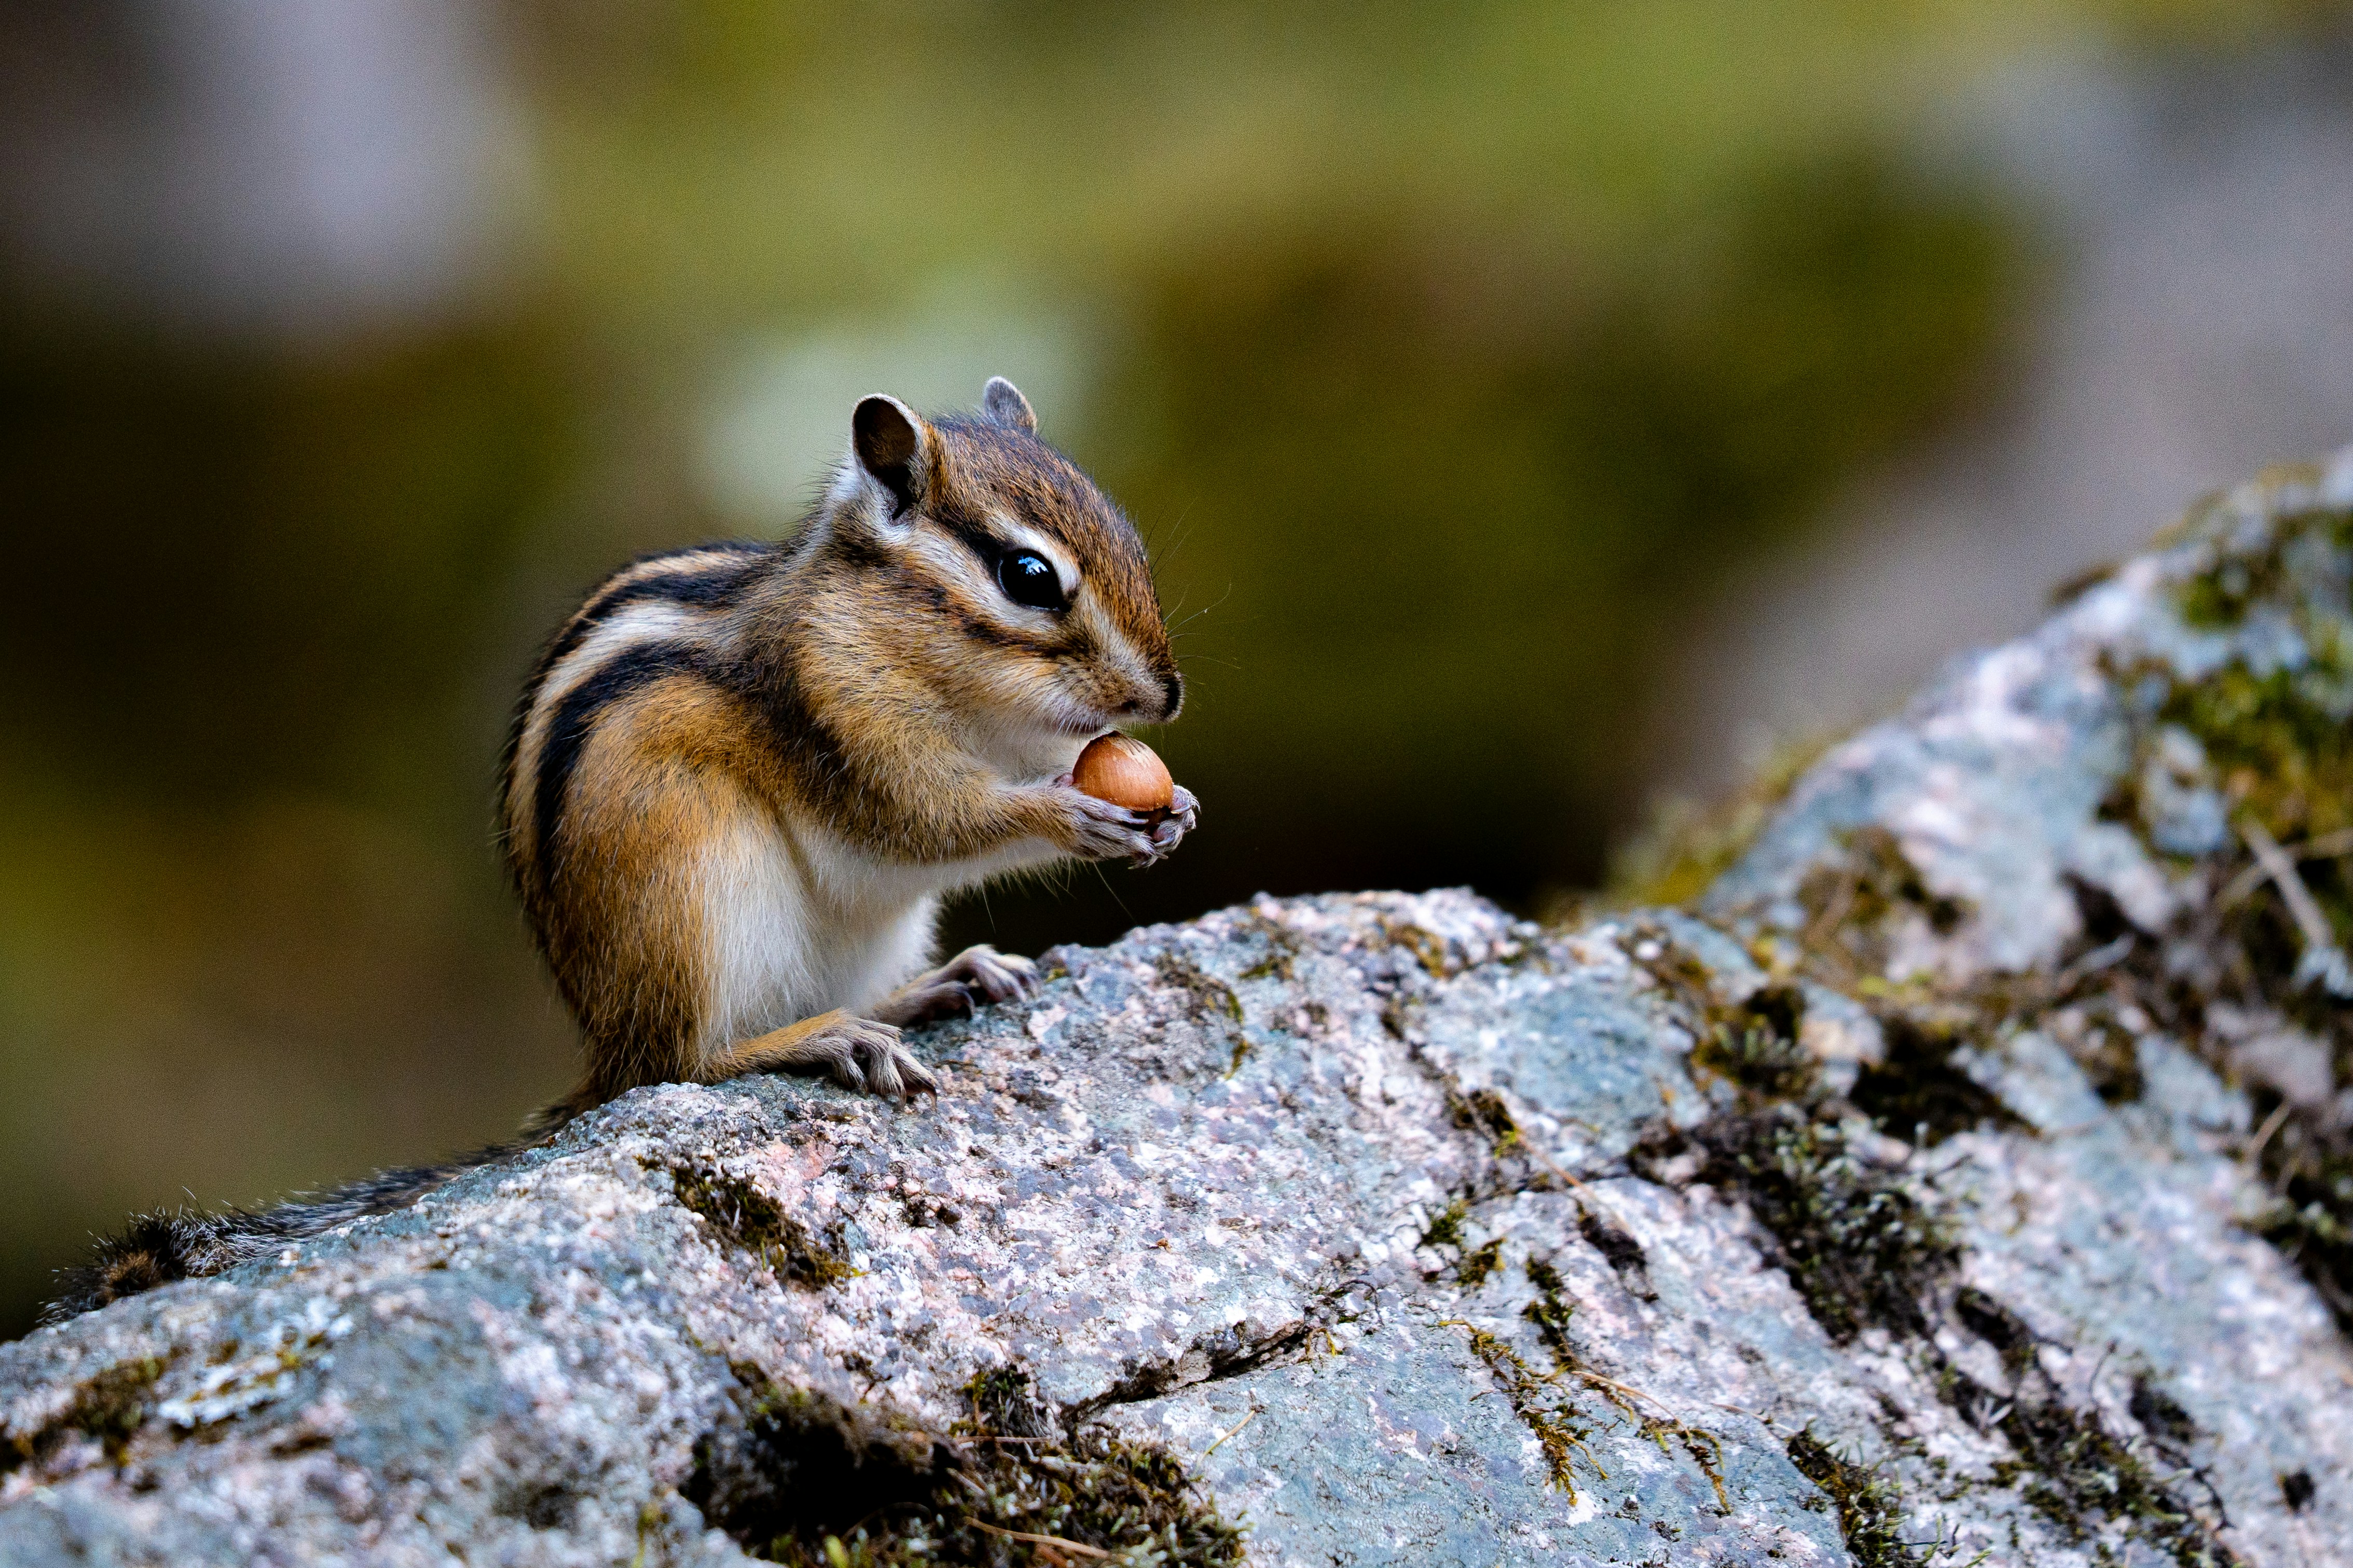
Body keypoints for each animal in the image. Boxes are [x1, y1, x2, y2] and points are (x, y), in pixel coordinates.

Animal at [49, 377, 1197, 1321]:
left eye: (1131, 539)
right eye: (1027, 575)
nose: (1165, 695)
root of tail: (604, 1043)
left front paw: (1173, 804)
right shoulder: (838, 719)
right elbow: (932, 820)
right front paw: (1074, 816)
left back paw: (934, 987)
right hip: (695, 892)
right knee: (681, 1064)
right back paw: (821, 1038)